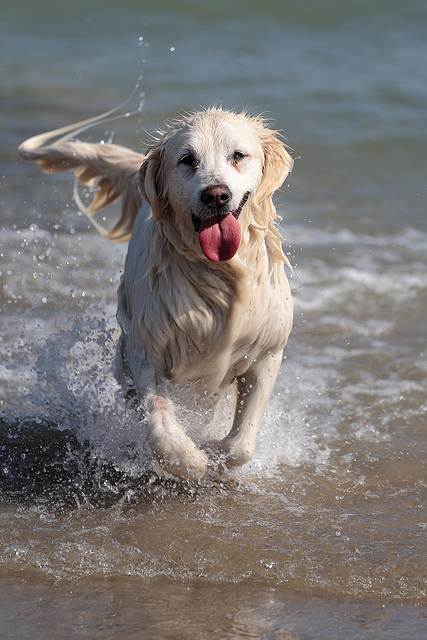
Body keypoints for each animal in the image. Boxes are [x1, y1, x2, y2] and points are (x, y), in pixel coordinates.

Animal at [19, 107, 294, 480]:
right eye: (187, 159)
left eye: (238, 155)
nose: (216, 195)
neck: (220, 273)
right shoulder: (147, 347)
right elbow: (160, 422)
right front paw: (192, 460)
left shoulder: (268, 350)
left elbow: (242, 444)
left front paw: (215, 452)